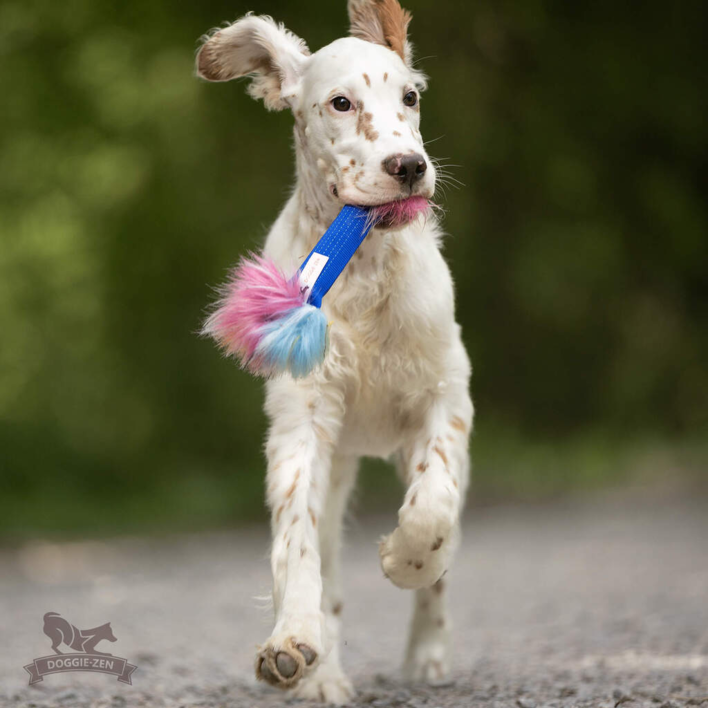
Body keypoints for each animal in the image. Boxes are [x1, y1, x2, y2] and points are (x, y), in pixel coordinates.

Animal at [196, 2, 472, 704]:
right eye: (341, 103)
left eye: (410, 97)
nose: (409, 166)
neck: (365, 264)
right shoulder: (301, 423)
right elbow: (297, 545)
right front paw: (293, 644)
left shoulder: (445, 395)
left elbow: (435, 506)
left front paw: (406, 558)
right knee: (325, 559)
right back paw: (322, 671)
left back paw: (428, 653)